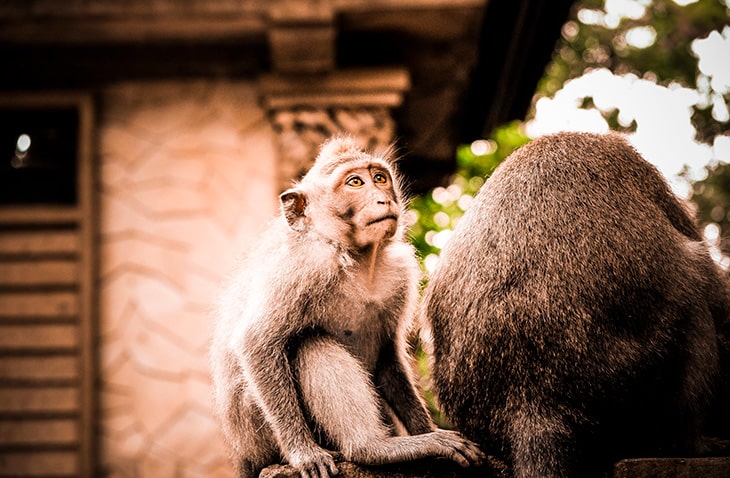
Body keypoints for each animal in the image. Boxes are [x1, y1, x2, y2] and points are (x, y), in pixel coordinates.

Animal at [209, 134, 484, 478]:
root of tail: (244, 457)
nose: (383, 200)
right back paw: (372, 448)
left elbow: (388, 357)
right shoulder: (306, 265)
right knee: (311, 344)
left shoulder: (399, 274)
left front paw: (427, 431)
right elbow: (256, 343)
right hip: (259, 434)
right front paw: (303, 453)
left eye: (379, 178)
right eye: (355, 183)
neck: (356, 257)